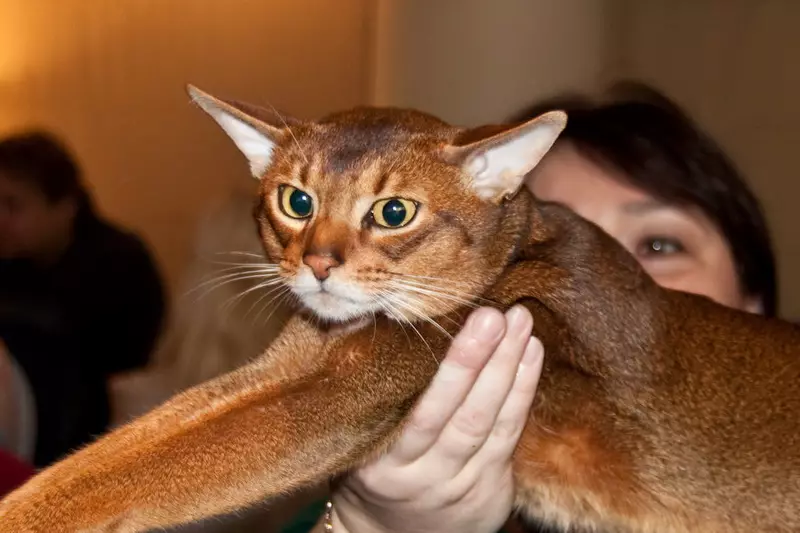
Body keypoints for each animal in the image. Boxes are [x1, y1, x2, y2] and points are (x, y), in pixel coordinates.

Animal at [1, 87, 800, 532]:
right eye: (296, 201)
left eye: (393, 212)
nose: (319, 264)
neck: (517, 253)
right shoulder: (286, 370)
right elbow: (122, 450)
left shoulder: (334, 400)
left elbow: (135, 473)